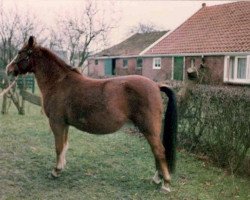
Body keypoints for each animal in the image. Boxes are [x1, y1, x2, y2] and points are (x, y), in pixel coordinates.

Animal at [6, 36, 178, 193]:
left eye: (21, 53)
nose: (8, 69)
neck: (59, 83)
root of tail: (156, 85)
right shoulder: (65, 124)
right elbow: (65, 145)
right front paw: (61, 167)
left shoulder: (57, 123)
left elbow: (58, 147)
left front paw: (56, 171)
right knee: (157, 151)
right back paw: (157, 178)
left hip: (148, 128)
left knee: (159, 151)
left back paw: (166, 184)